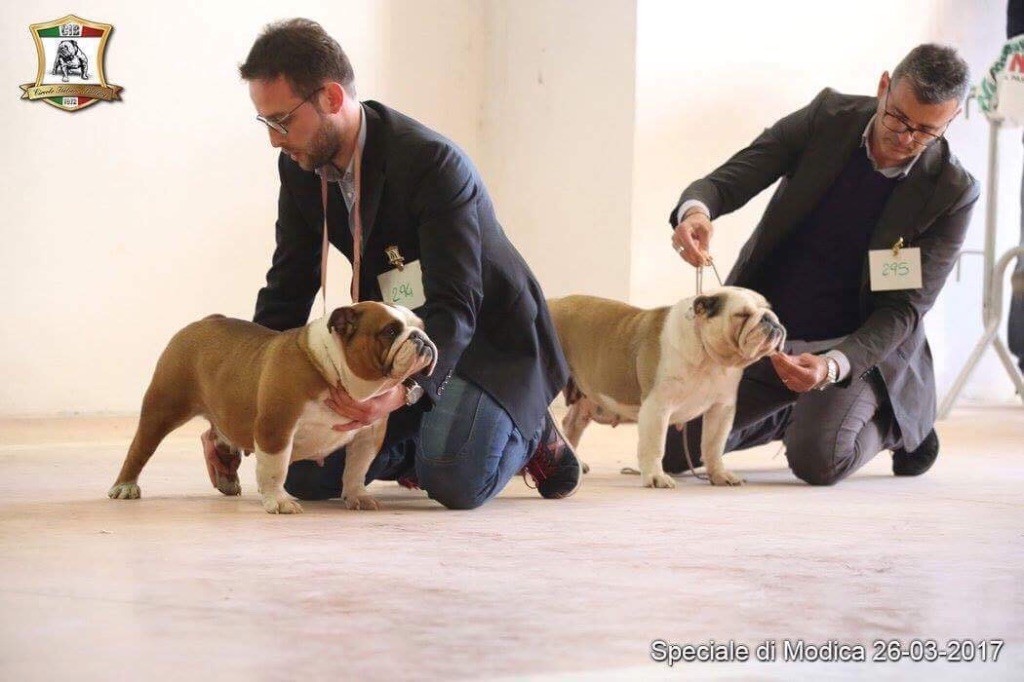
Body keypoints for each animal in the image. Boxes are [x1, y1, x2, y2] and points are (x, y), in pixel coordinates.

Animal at [108, 302, 437, 513]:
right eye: (390, 332)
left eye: (421, 327)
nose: (421, 338)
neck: (334, 371)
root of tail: (204, 321)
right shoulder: (276, 427)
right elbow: (275, 469)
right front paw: (278, 501)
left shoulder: (369, 436)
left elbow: (356, 470)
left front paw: (358, 496)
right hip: (163, 408)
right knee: (139, 449)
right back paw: (125, 487)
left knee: (217, 433)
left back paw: (226, 477)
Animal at [548, 287, 785, 488]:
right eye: (742, 315)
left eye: (770, 309)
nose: (771, 319)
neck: (708, 358)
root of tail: (551, 302)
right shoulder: (657, 407)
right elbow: (655, 446)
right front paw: (655, 477)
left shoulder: (721, 409)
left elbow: (713, 446)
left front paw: (719, 475)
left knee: (572, 425)